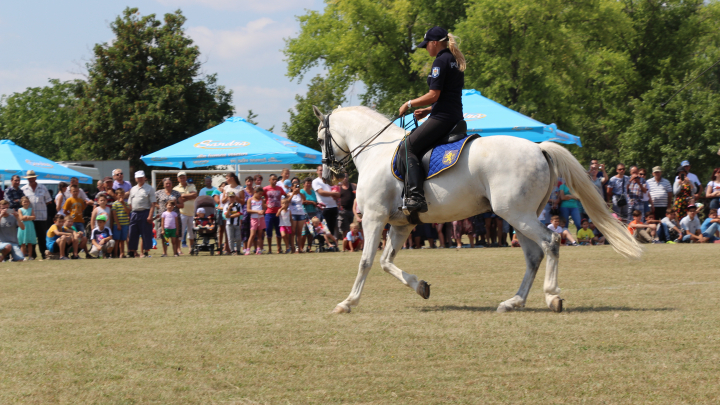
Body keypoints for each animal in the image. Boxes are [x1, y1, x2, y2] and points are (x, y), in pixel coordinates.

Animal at [314, 104, 640, 312]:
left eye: (320, 139)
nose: (329, 176)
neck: (376, 151)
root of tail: (538, 148)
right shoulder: (402, 224)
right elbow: (385, 262)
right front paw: (421, 286)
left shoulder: (374, 217)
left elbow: (366, 261)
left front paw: (348, 302)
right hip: (518, 217)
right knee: (534, 255)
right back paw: (513, 302)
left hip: (517, 215)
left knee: (551, 242)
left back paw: (551, 297)